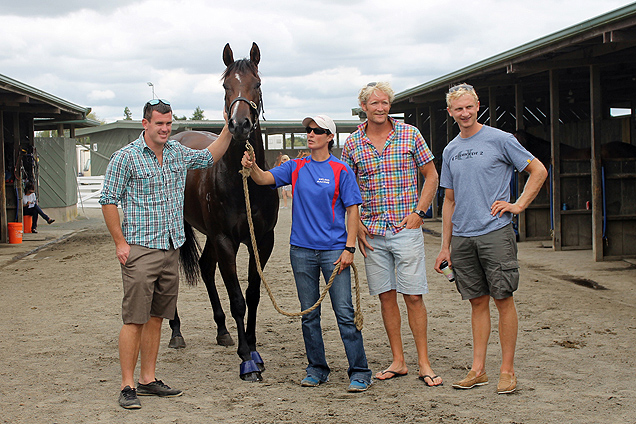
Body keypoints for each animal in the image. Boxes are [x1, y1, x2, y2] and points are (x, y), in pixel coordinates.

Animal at [169, 43, 278, 380]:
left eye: (257, 83)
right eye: (225, 85)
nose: (240, 125)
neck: (241, 181)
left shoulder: (262, 241)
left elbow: (254, 294)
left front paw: (252, 345)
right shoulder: (226, 241)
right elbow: (238, 299)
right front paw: (246, 357)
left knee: (205, 268)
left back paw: (222, 331)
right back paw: (176, 332)